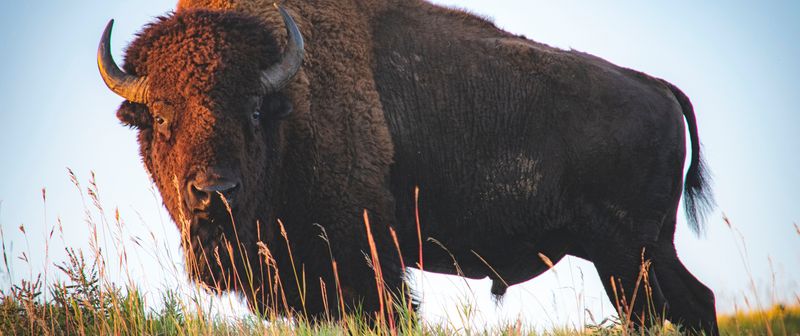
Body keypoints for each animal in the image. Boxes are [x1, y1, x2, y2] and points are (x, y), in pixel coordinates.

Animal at [98, 0, 720, 334]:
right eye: (160, 116)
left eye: (254, 109)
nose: (214, 191)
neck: (292, 108)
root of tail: (657, 87)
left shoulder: (364, 260)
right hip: (632, 258)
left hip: (631, 254)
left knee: (689, 305)